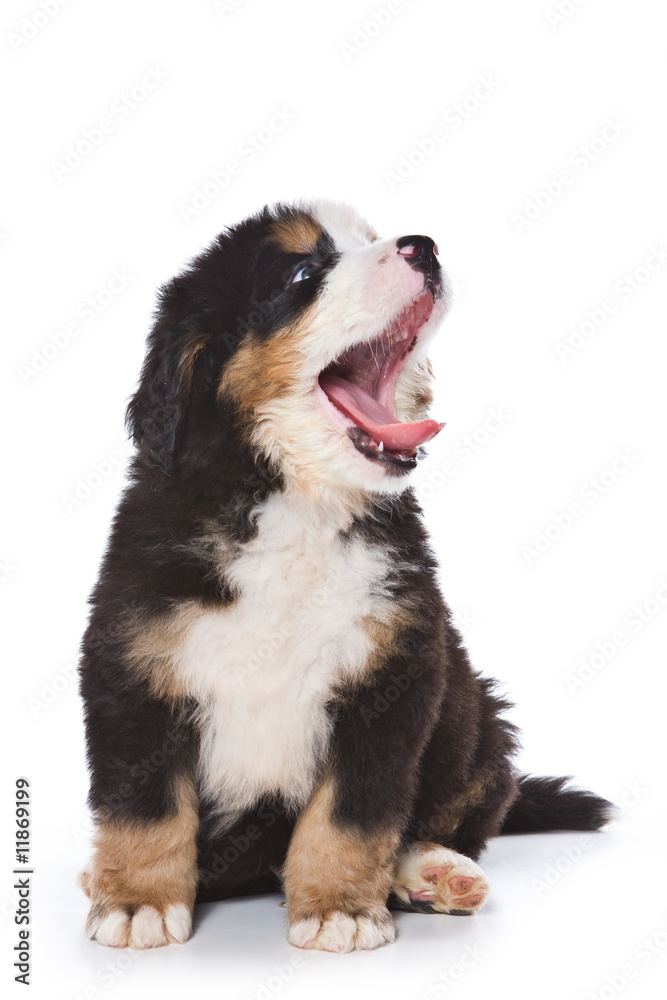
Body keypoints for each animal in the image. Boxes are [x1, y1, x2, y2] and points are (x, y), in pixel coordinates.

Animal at [77, 197, 612, 952]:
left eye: (370, 240)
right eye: (304, 272)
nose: (423, 247)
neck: (296, 504)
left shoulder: (391, 673)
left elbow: (352, 815)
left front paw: (338, 908)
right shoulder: (133, 663)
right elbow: (143, 808)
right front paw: (136, 901)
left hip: (471, 714)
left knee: (465, 815)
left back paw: (428, 872)